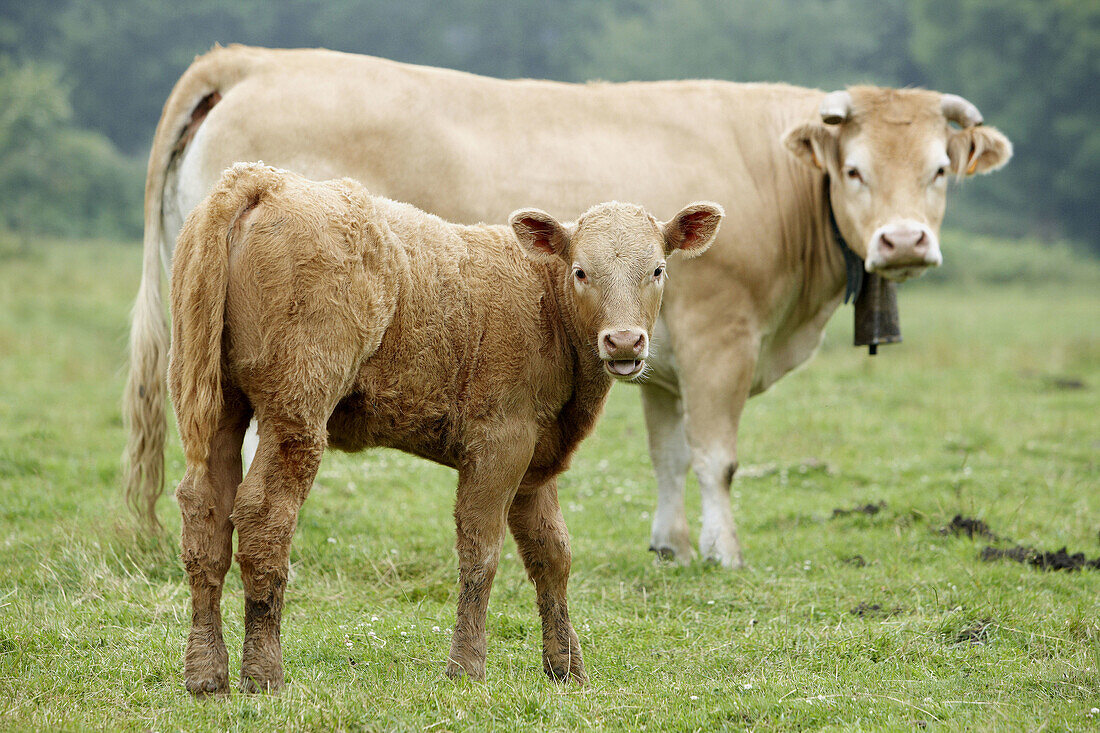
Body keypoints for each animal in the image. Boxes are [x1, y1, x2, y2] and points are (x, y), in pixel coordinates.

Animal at [124, 45, 1007, 563]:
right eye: (855, 170)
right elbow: (716, 455)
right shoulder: (719, 337)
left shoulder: (658, 354)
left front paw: (669, 546)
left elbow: (669, 454)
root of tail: (255, 61)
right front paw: (723, 551)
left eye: (939, 169)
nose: (902, 240)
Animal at [169, 162, 721, 695]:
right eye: (581, 271)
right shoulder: (500, 442)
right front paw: (467, 668)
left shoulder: (535, 460)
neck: (546, 303)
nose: (624, 341)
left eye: (657, 269)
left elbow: (552, 554)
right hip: (297, 404)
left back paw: (205, 673)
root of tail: (263, 179)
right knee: (264, 515)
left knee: (206, 511)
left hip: (217, 403)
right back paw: (263, 673)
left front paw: (567, 669)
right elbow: (481, 552)